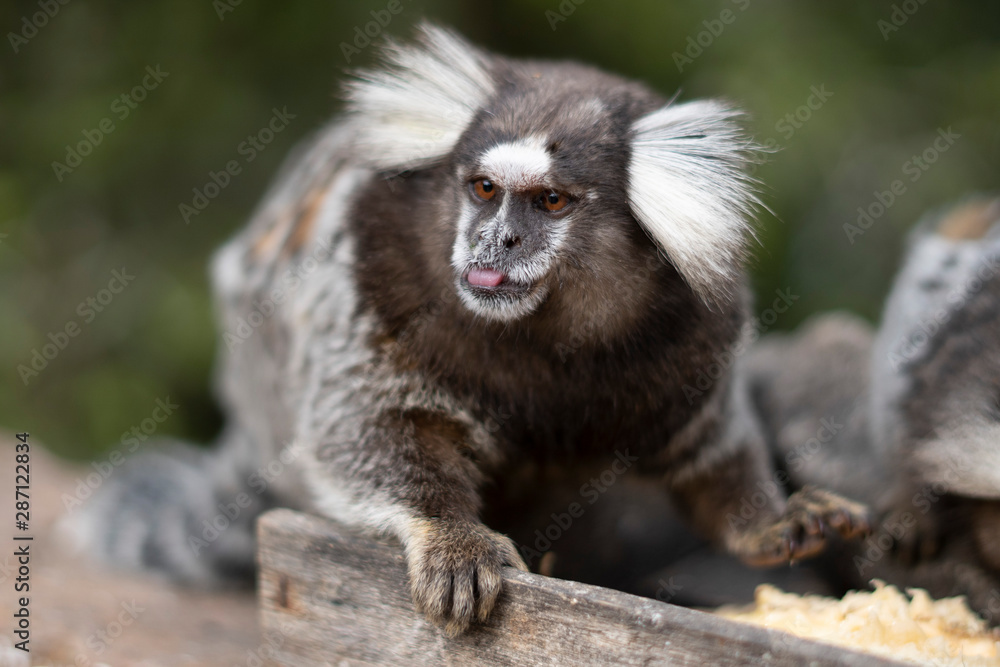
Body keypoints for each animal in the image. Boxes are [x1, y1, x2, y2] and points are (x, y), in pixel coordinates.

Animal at [71, 24, 870, 636]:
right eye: (484, 190)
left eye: (550, 202)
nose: (496, 243)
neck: (543, 338)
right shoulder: (368, 287)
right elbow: (370, 429)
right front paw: (451, 538)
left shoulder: (695, 336)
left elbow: (710, 453)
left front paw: (771, 521)